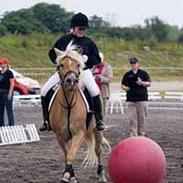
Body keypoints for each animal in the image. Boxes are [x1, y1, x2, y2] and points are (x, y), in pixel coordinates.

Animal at [49, 41, 109, 183]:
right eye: (61, 65)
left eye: (77, 64)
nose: (70, 81)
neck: (68, 104)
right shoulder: (60, 136)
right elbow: (67, 154)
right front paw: (71, 175)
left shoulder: (79, 133)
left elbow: (71, 155)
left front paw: (67, 176)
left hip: (96, 129)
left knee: (98, 150)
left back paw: (101, 174)